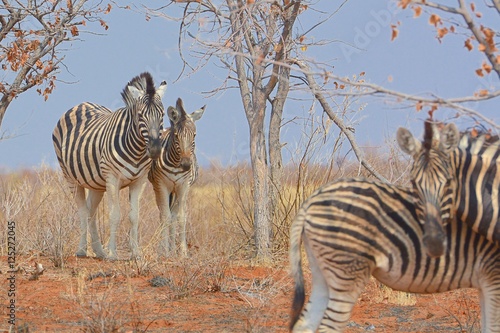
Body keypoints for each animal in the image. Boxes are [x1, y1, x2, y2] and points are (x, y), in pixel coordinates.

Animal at [52, 72, 167, 260]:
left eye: (162, 114)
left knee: (91, 212)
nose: (156, 149)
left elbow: (134, 216)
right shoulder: (112, 179)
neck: (137, 149)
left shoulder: (139, 180)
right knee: (82, 212)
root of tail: (81, 104)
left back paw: (99, 251)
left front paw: (135, 253)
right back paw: (82, 250)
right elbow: (114, 215)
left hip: (96, 183)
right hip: (70, 178)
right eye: (140, 116)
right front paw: (113, 253)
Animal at [147, 97, 204, 255]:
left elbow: (181, 216)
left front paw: (183, 252)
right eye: (177, 136)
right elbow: (165, 217)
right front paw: (165, 251)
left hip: (175, 191)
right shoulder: (161, 185)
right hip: (160, 188)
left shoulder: (184, 186)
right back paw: (164, 248)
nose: (186, 164)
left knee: (173, 214)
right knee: (163, 214)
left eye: (194, 135)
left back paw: (173, 248)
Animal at [290, 178, 500, 330]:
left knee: (305, 323)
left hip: (322, 271)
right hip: (348, 270)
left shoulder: (487, 281)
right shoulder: (493, 275)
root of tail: (311, 200)